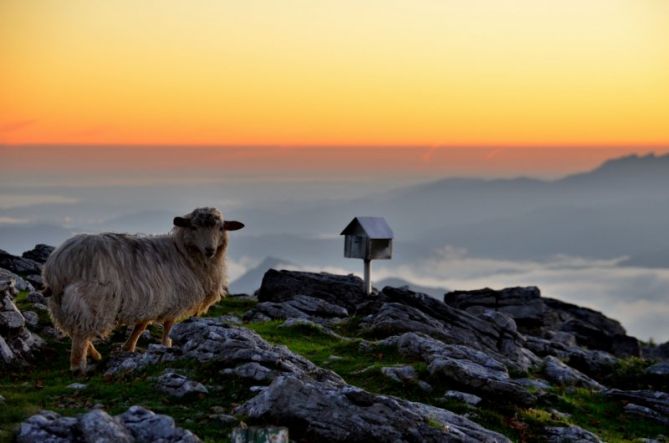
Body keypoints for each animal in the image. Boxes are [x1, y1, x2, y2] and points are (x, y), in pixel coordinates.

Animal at [41, 208, 243, 374]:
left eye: (221, 228)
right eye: (193, 227)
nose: (210, 250)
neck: (183, 253)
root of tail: (59, 263)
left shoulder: (152, 298)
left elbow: (141, 326)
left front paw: (128, 347)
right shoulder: (174, 297)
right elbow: (167, 325)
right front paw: (166, 344)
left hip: (60, 303)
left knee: (72, 328)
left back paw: (95, 355)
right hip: (91, 300)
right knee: (80, 333)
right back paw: (78, 365)